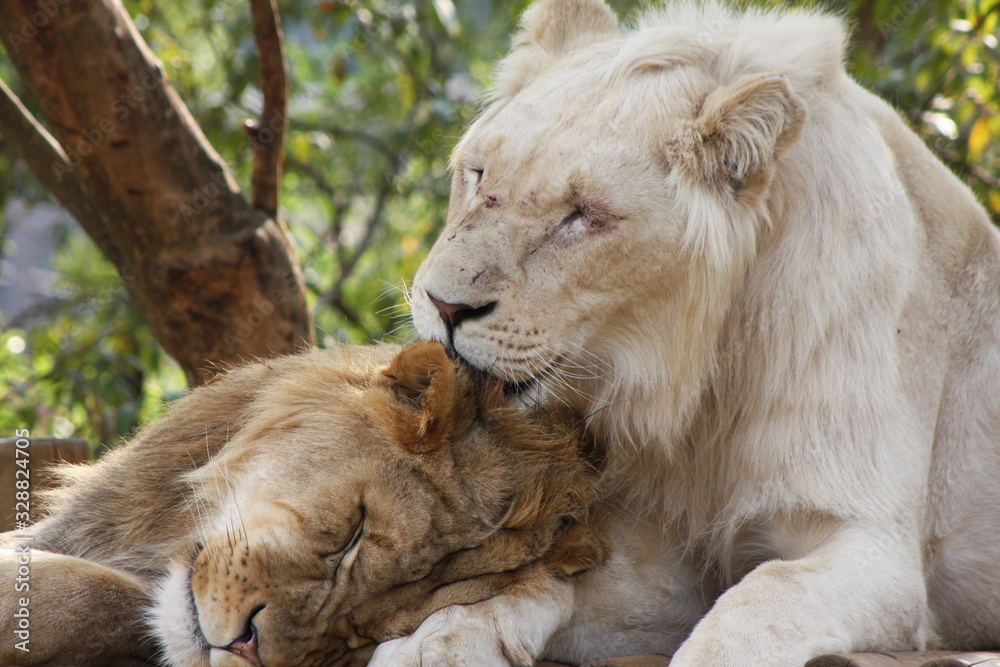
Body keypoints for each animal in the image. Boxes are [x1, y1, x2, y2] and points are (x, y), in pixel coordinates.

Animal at [395, 1, 1000, 665]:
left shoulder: (874, 549)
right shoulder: (663, 559)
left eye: (585, 215)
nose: (444, 305)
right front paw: (440, 638)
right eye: (478, 175)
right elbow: (538, 576)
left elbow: (762, 596)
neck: (694, 394)